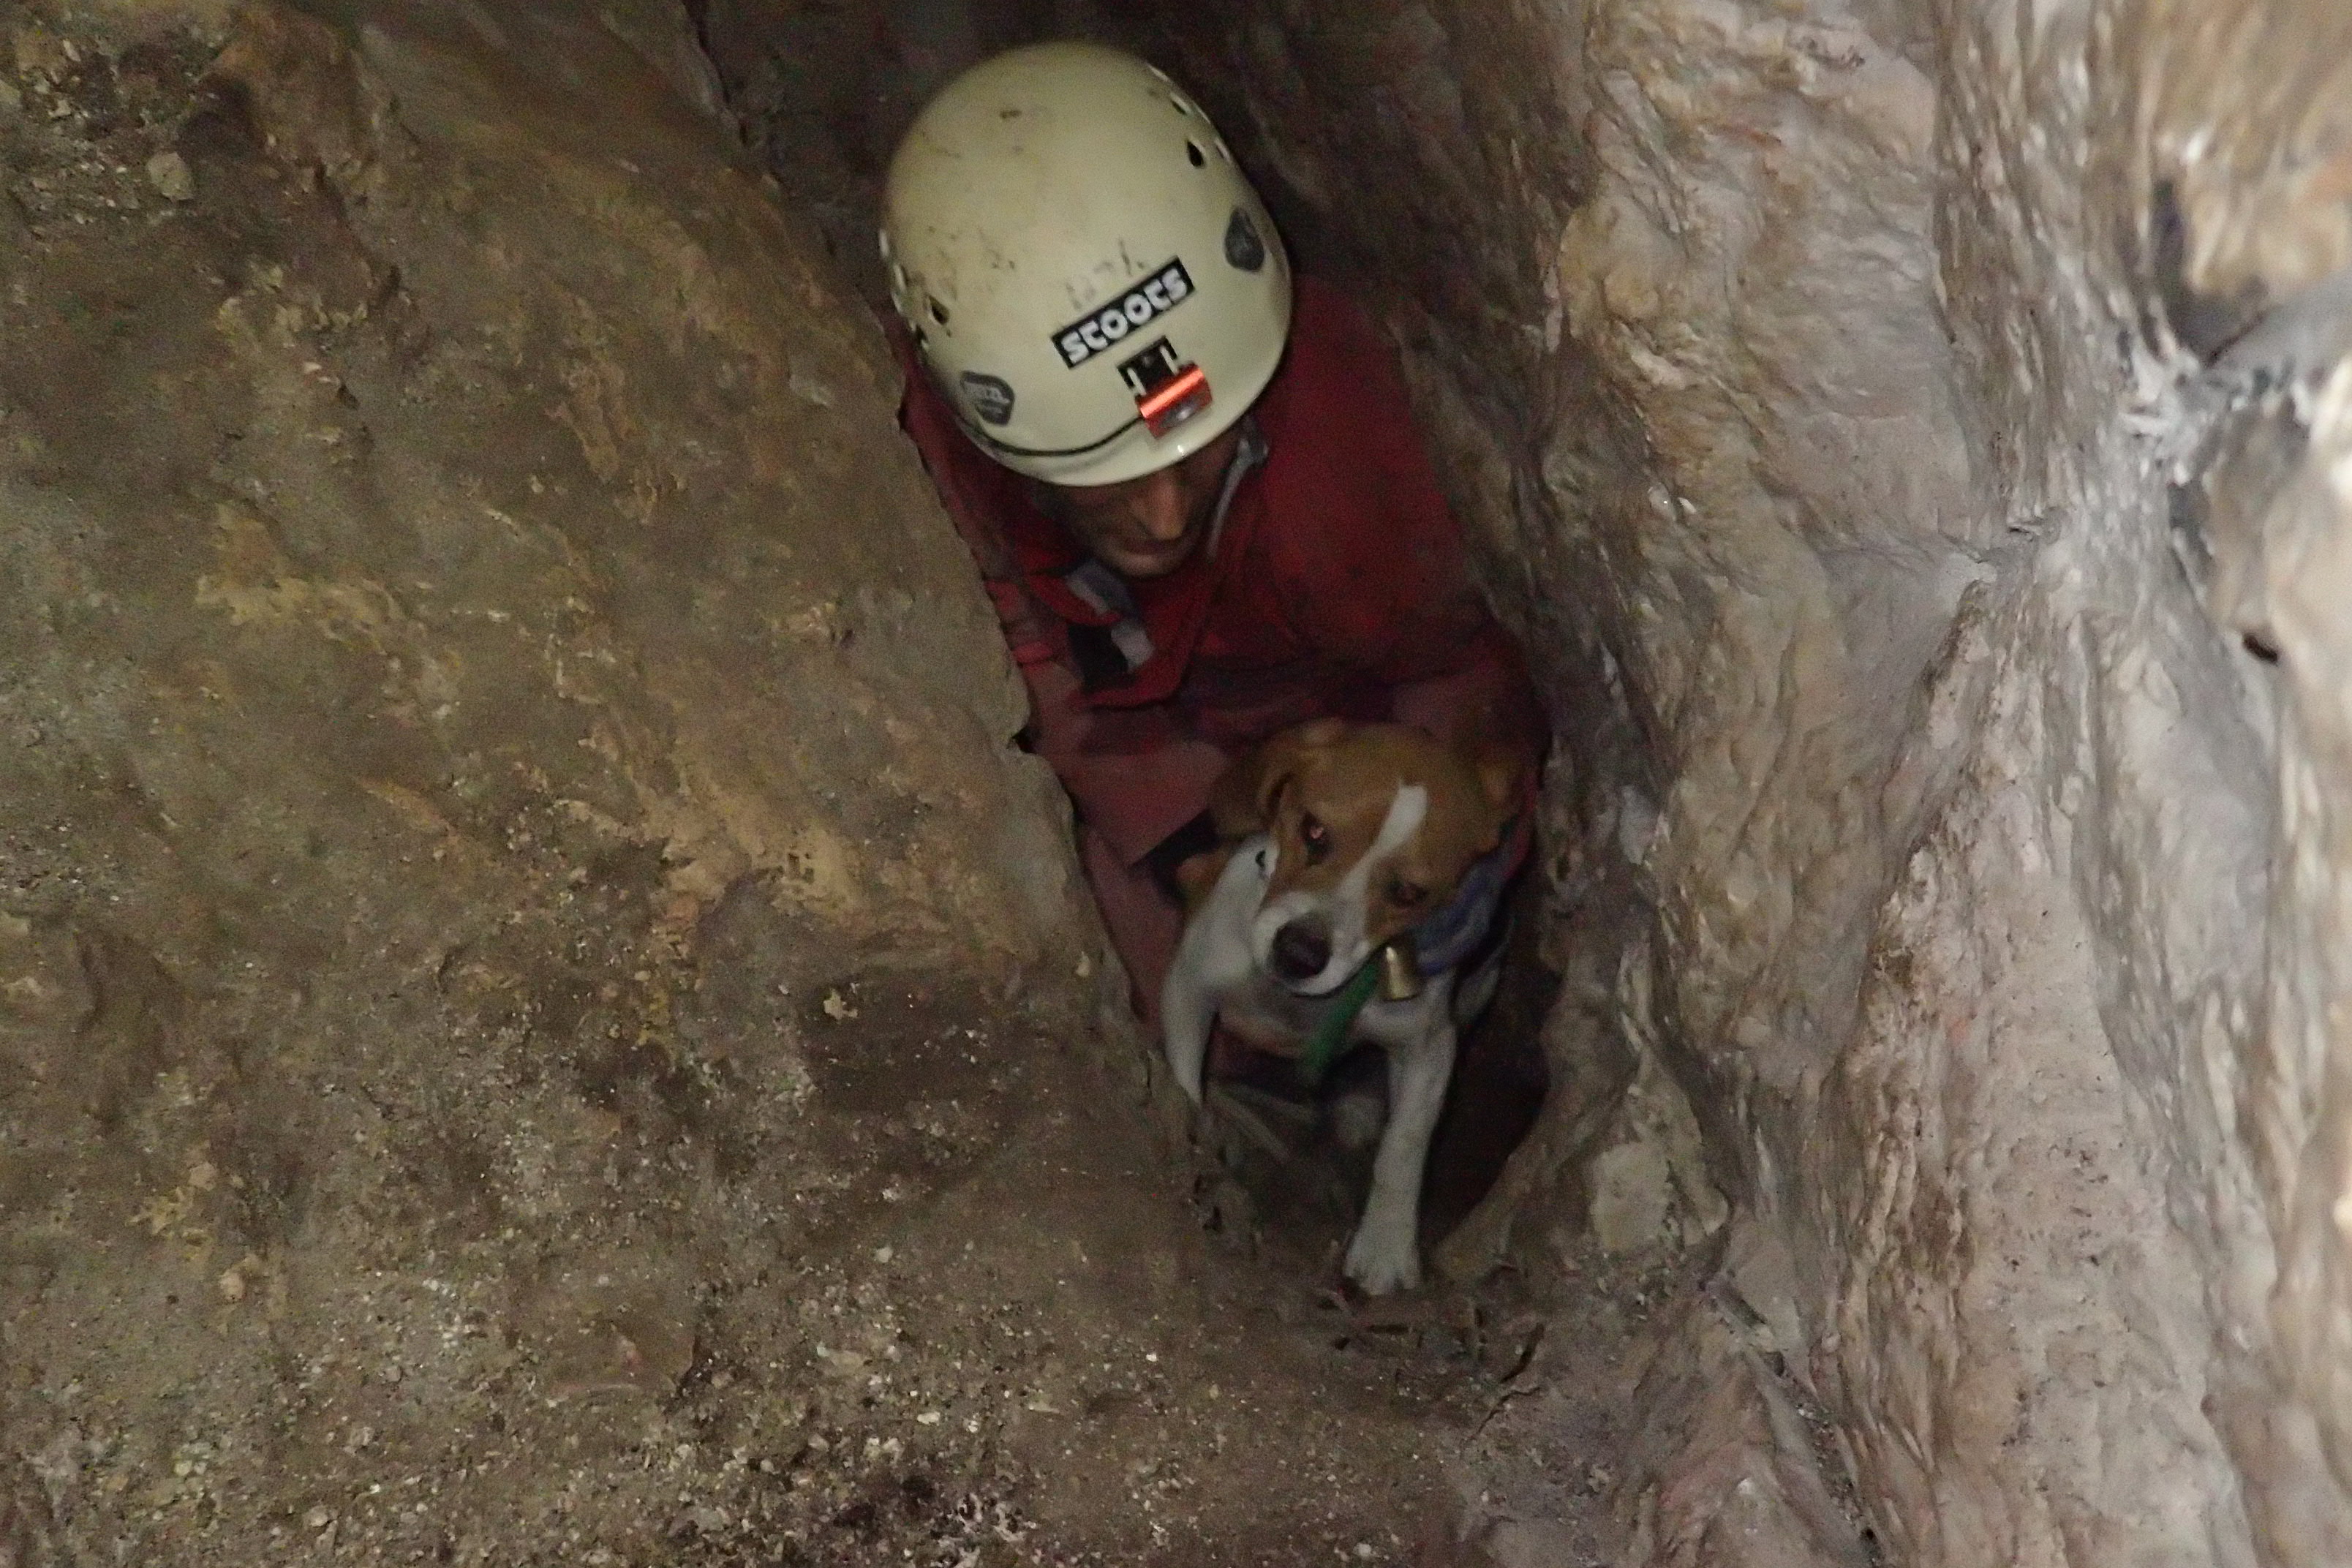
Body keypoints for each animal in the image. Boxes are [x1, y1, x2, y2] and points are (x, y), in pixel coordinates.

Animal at [1161, 719, 1523, 1297]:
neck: (1299, 1004)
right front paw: (1198, 1152)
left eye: (1408, 892)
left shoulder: (1430, 1044)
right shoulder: (1188, 988)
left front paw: (1386, 1247)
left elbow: (1404, 1144)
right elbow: (1184, 1086)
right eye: (1313, 831)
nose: (1299, 954)